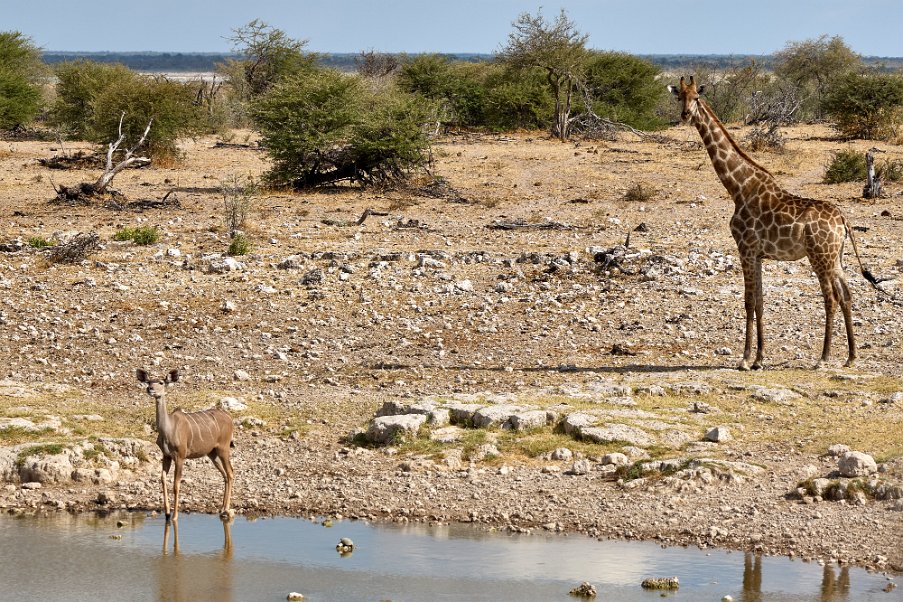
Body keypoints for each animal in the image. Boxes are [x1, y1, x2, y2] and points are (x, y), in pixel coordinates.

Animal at [137, 366, 237, 520]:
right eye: (148, 381)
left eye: (161, 382)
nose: (150, 389)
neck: (168, 429)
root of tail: (229, 418)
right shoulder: (166, 455)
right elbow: (162, 479)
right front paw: (167, 513)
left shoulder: (180, 456)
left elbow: (176, 484)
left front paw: (174, 516)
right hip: (212, 453)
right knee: (225, 474)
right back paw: (221, 509)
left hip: (224, 448)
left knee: (231, 473)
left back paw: (226, 509)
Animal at [672, 77, 876, 368]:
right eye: (680, 97)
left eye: (697, 98)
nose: (686, 114)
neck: (739, 188)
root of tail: (843, 220)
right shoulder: (757, 254)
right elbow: (759, 302)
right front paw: (759, 358)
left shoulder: (745, 249)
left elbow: (748, 301)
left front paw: (745, 359)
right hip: (835, 257)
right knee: (847, 295)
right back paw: (851, 356)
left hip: (819, 256)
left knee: (831, 298)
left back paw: (823, 358)